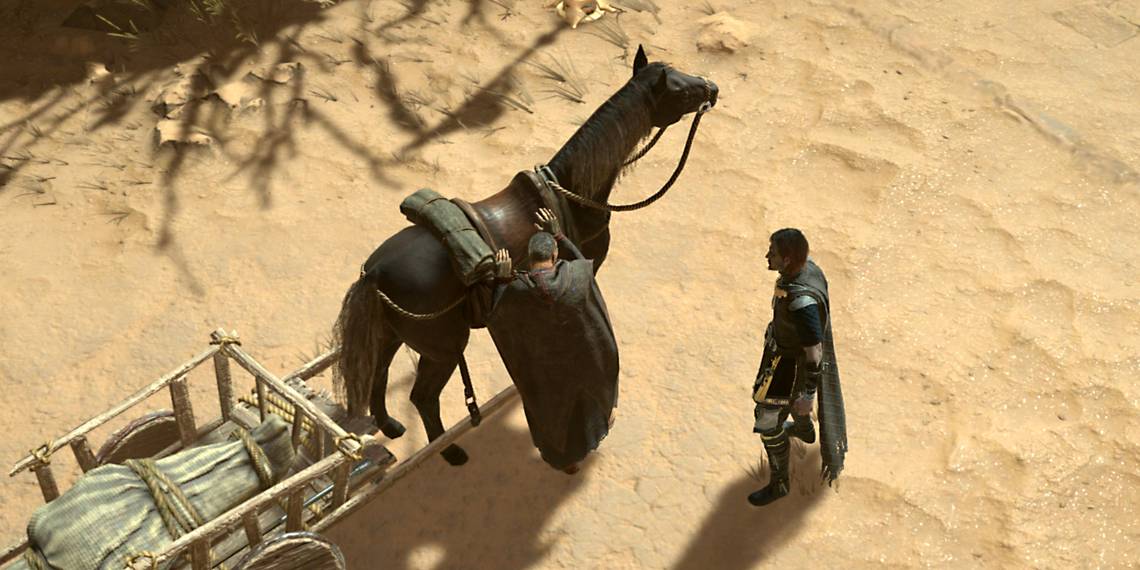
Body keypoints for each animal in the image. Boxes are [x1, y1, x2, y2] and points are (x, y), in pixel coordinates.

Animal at [332, 45, 718, 467]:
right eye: (679, 91)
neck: (569, 191)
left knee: (379, 372)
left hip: (390, 334)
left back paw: (388, 425)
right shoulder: (588, 266)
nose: (712, 88)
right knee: (423, 397)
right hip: (444, 348)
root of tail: (374, 273)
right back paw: (449, 452)